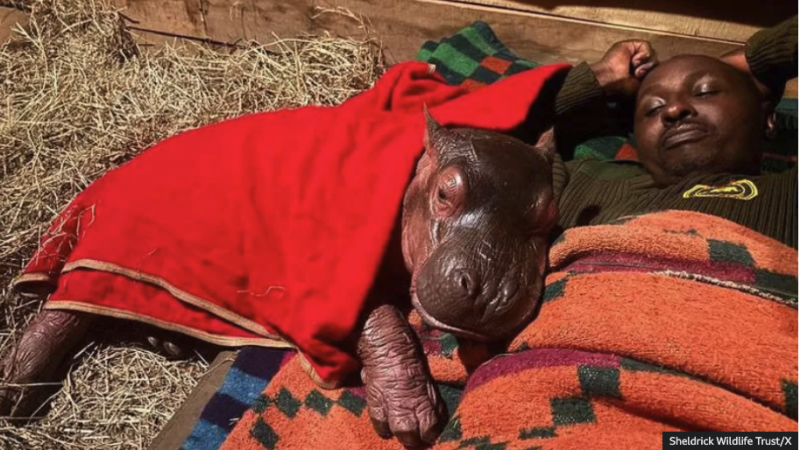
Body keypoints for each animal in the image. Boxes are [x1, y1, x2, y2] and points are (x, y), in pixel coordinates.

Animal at [0, 109, 559, 448]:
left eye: (549, 215)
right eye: (445, 193)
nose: (486, 291)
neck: (411, 185)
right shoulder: (336, 279)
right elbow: (383, 320)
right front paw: (411, 421)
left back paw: (166, 342)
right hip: (109, 245)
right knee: (60, 312)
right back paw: (17, 393)